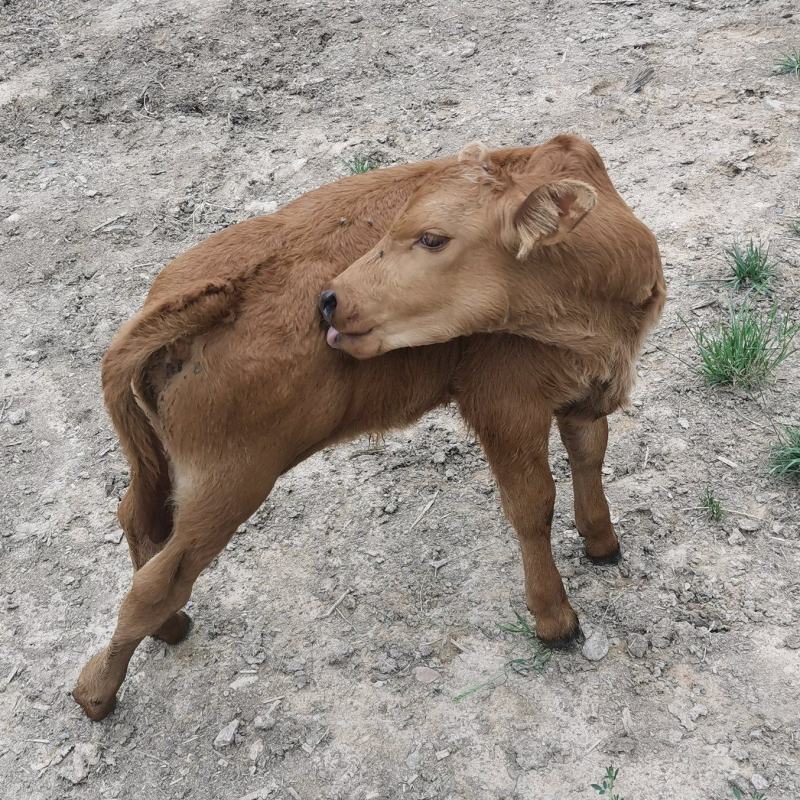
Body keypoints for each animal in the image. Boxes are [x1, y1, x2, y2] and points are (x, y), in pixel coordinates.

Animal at [73, 134, 664, 720]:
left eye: (432, 238)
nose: (330, 299)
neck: (599, 309)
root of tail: (200, 294)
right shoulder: (504, 403)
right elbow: (532, 505)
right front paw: (554, 618)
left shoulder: (588, 389)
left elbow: (590, 453)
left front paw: (602, 541)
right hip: (229, 480)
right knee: (154, 582)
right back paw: (97, 690)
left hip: (178, 466)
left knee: (137, 519)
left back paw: (167, 629)